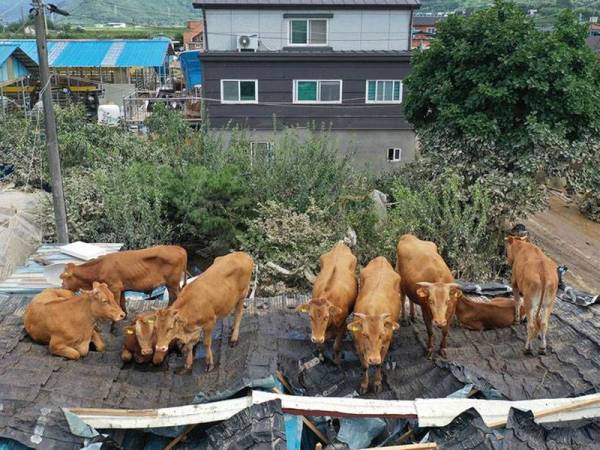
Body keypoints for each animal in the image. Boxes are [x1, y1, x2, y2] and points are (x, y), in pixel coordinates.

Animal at [60, 243, 188, 316]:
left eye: (63, 277)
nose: (61, 286)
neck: (100, 267)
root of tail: (179, 248)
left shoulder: (115, 288)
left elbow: (116, 303)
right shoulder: (121, 288)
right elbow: (122, 303)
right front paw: (124, 315)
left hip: (172, 283)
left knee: (178, 296)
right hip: (172, 284)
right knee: (173, 296)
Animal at [344, 256, 400, 394]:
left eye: (382, 334)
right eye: (364, 334)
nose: (373, 359)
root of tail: (381, 259)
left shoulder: (384, 345)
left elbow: (380, 364)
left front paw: (377, 383)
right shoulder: (358, 345)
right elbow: (364, 366)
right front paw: (364, 385)